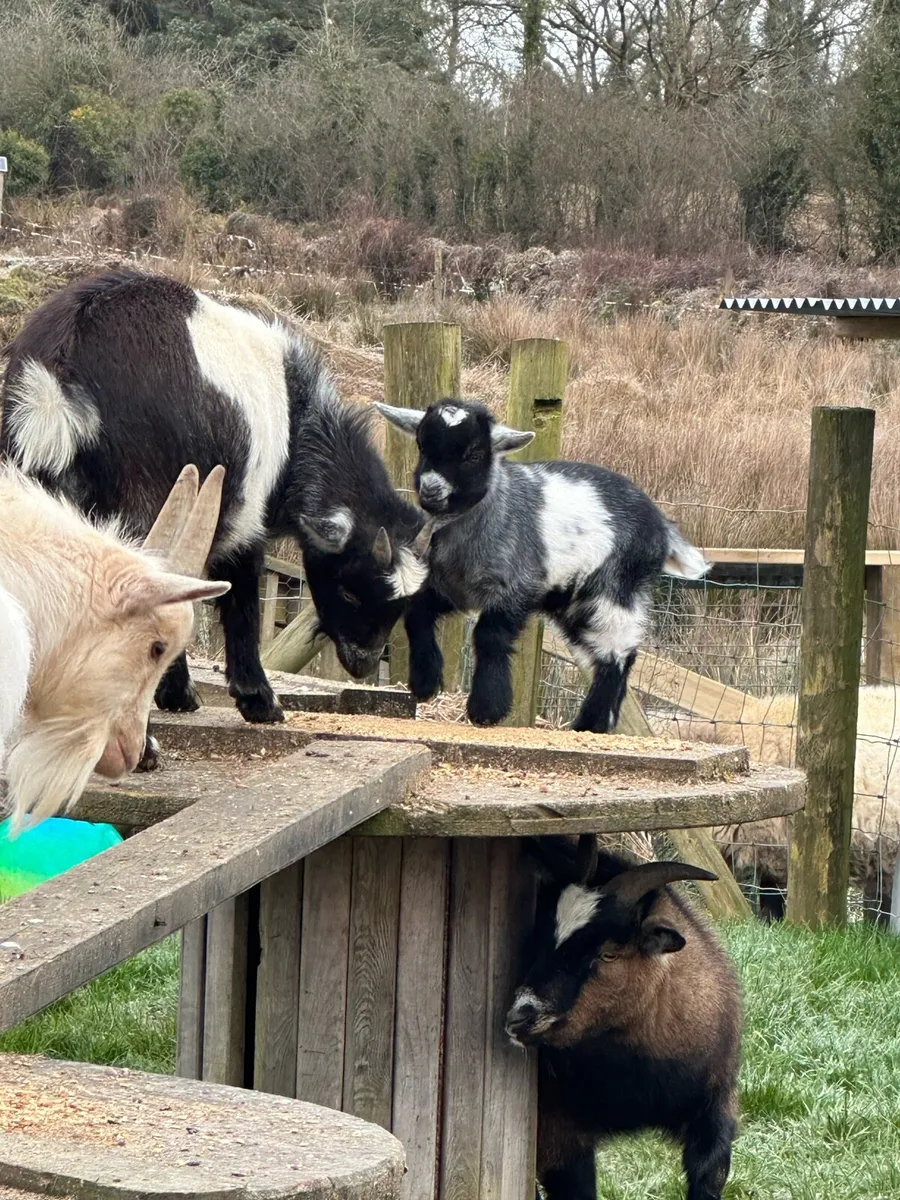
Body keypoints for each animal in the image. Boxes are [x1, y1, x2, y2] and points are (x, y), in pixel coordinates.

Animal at [0, 269, 430, 765]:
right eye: (349, 590)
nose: (364, 662)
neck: (298, 423)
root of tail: (58, 375)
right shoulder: (243, 516)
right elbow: (237, 598)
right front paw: (258, 700)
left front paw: (178, 695)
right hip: (145, 494)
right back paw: (143, 747)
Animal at [376, 398, 709, 732]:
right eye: (421, 446)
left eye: (473, 454)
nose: (430, 490)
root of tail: (661, 526)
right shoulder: (455, 590)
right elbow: (417, 612)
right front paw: (425, 683)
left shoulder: (516, 587)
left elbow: (489, 636)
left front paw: (487, 710)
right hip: (572, 604)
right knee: (604, 654)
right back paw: (600, 724)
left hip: (612, 588)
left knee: (617, 653)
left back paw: (590, 724)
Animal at [506, 835, 742, 1200]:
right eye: (541, 936)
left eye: (609, 954)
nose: (520, 1016)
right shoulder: (558, 1135)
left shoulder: (716, 1107)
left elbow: (709, 1177)